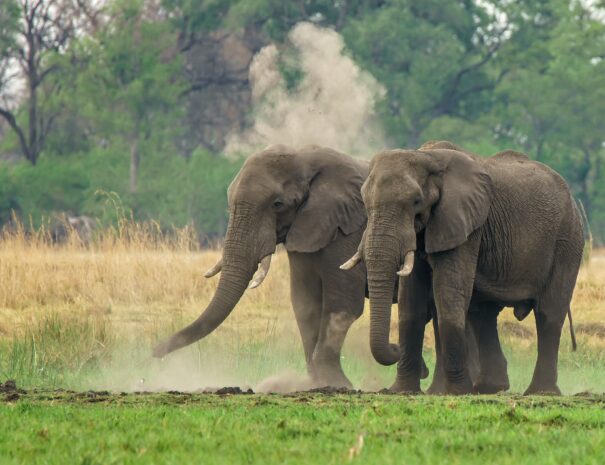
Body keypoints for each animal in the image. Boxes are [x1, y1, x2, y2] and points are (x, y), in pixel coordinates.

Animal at [151, 143, 372, 386]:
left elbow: (342, 303)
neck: (305, 156)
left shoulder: (346, 229)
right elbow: (304, 303)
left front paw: (336, 384)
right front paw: (316, 384)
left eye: (278, 204)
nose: (154, 352)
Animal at [342, 140, 584, 394]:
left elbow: (448, 292)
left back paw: (539, 391)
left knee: (549, 312)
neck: (427, 157)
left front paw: (455, 392)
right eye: (364, 202)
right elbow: (411, 301)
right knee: (483, 313)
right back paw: (489, 388)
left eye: (416, 201)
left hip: (567, 240)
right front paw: (402, 391)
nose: (394, 348)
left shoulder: (464, 224)